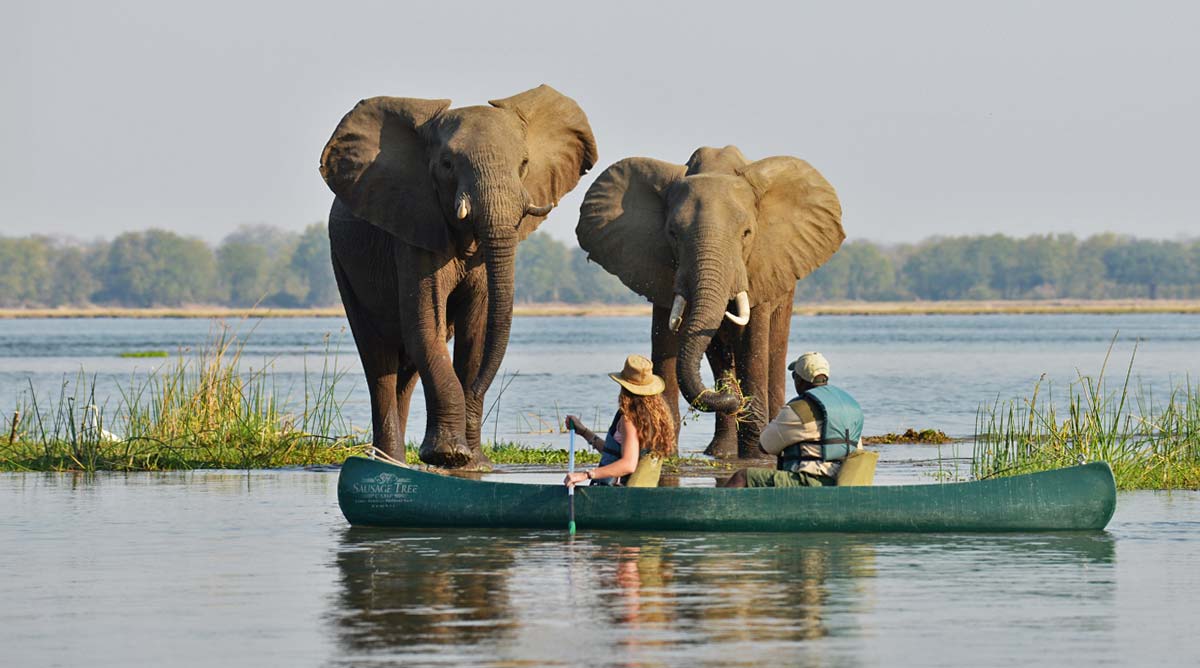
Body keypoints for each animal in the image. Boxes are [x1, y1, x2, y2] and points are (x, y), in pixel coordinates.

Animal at [321, 84, 597, 467]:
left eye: (524, 164)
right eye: (447, 164)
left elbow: (475, 335)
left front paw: (474, 463)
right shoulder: (413, 230)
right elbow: (427, 327)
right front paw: (448, 455)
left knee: (407, 367)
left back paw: (398, 462)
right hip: (343, 265)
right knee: (379, 358)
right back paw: (389, 461)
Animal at [573, 144, 840, 458]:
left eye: (747, 233)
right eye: (673, 233)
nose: (731, 396)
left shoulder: (761, 265)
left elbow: (753, 342)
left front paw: (757, 455)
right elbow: (665, 338)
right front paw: (665, 452)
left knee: (774, 346)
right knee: (718, 351)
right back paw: (721, 451)